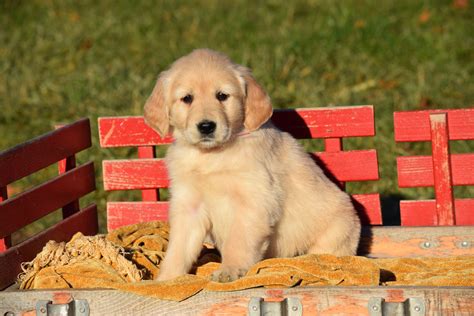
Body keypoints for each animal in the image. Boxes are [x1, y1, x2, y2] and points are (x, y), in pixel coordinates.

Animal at [144, 48, 360, 282]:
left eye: (222, 96)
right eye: (187, 98)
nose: (206, 126)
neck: (212, 155)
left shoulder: (254, 201)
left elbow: (238, 241)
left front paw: (230, 269)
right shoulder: (189, 204)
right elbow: (179, 247)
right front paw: (166, 279)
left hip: (335, 233)